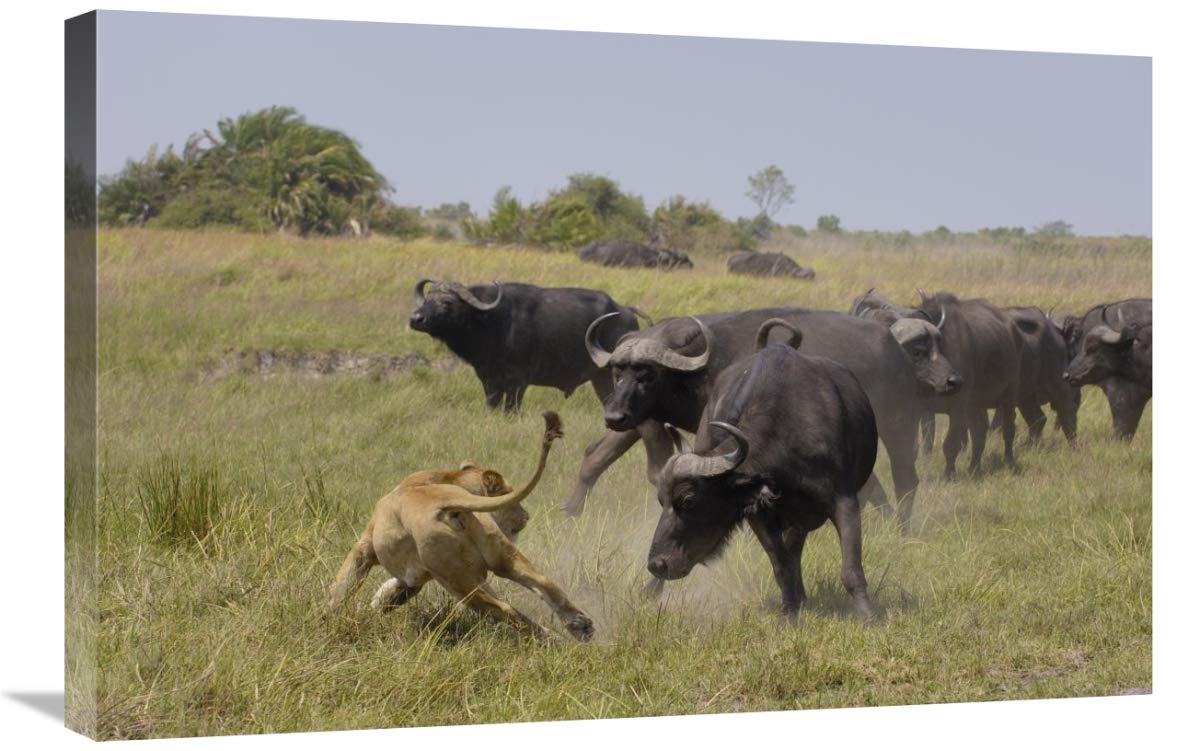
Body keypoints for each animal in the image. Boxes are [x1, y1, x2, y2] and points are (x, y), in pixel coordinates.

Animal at [571, 307, 922, 531]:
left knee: (905, 478)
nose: (613, 415)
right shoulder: (648, 420)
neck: (702, 368)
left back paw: (902, 527)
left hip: (899, 426)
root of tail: (895, 349)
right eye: (617, 372)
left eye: (648, 375)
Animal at [647, 322, 881, 618]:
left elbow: (851, 568)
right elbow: (781, 566)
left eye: (688, 500)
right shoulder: (758, 513)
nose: (657, 564)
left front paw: (869, 615)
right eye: (661, 500)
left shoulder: (845, 501)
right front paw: (789, 613)